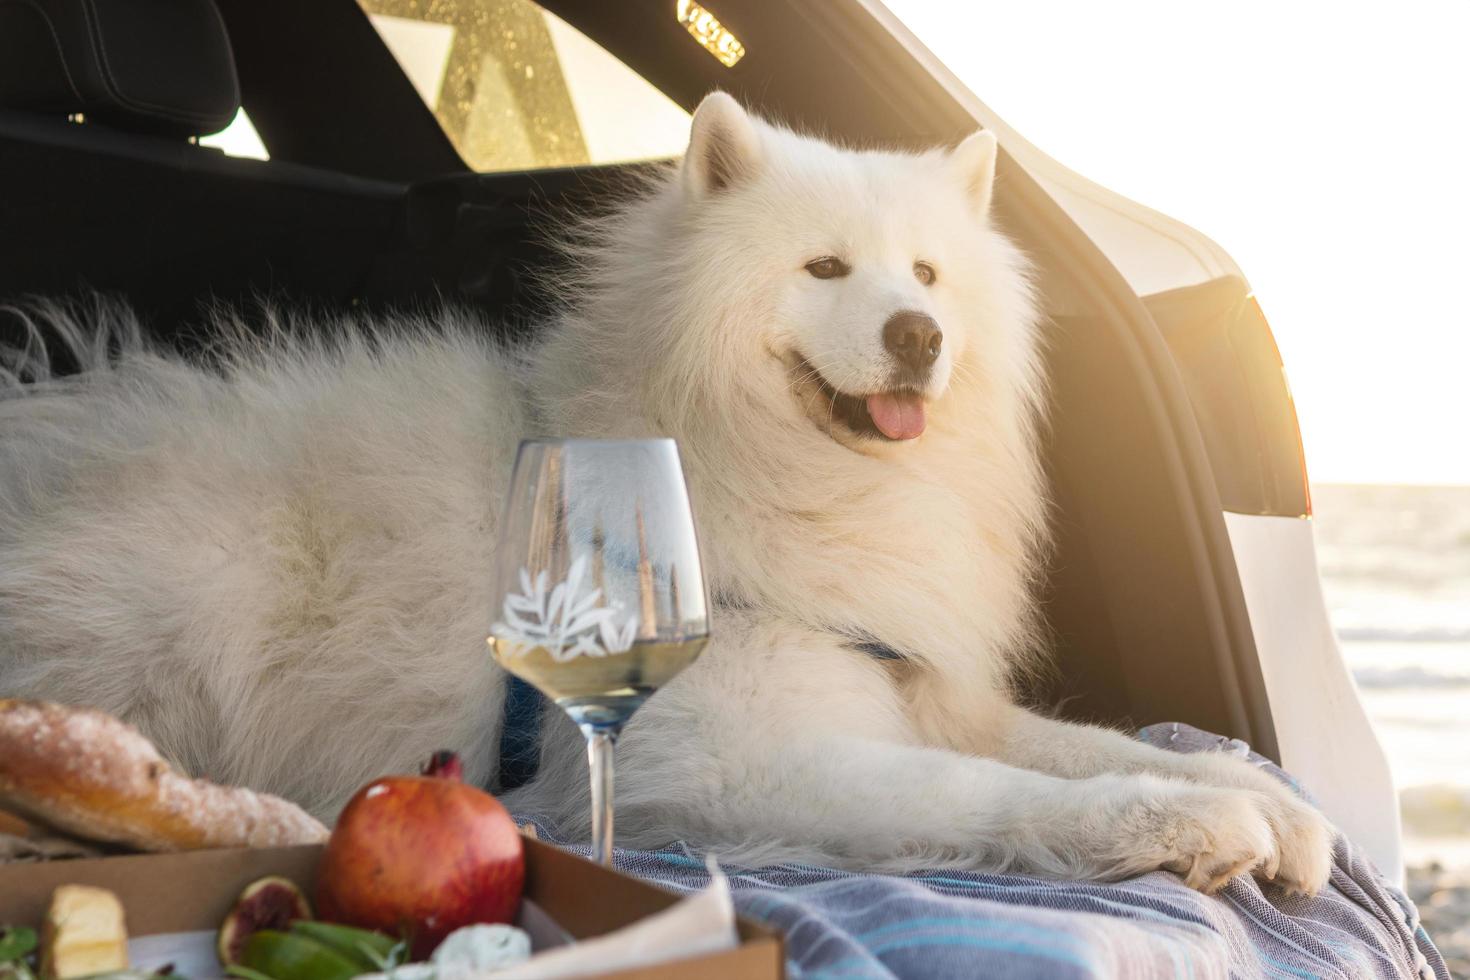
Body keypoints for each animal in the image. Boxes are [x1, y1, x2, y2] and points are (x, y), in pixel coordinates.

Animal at [0, 95, 1334, 893]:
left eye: (926, 274)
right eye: (825, 268)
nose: (918, 335)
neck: (782, 480)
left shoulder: (901, 678)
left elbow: (1082, 740)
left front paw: (1276, 805)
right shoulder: (736, 758)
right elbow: (994, 789)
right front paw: (1195, 826)